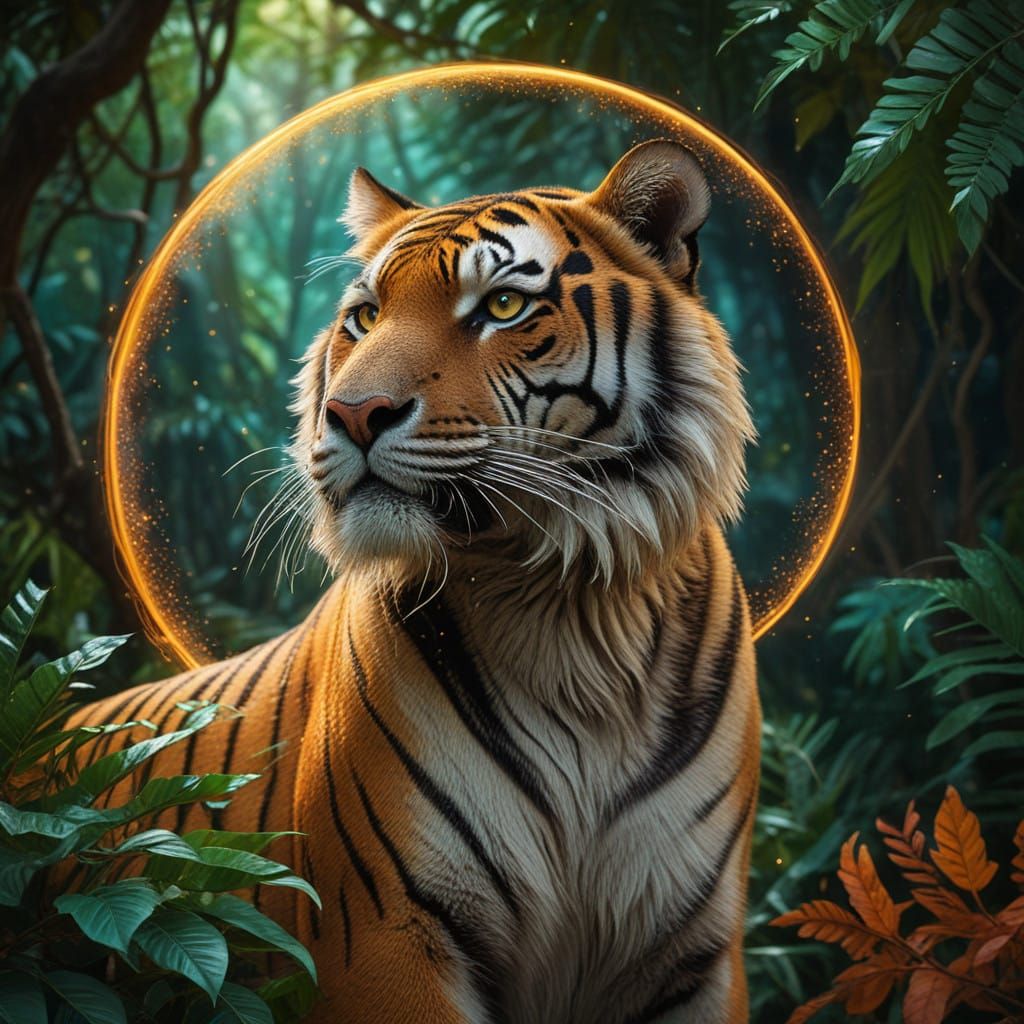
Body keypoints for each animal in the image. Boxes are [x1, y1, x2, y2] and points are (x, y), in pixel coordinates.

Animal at [75, 139, 760, 1023]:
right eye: (365, 317)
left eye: (502, 305)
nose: (352, 412)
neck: (566, 609)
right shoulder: (386, 933)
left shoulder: (692, 953)